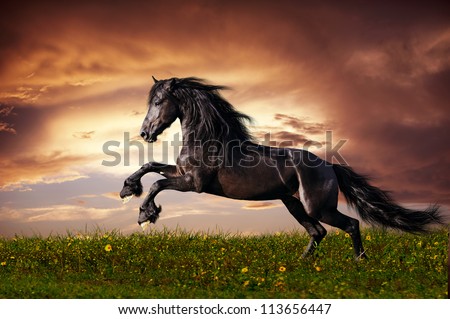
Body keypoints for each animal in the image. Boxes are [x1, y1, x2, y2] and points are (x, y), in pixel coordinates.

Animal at [120, 77, 442, 260]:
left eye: (159, 101)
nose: (145, 133)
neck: (210, 139)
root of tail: (331, 167)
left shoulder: (194, 183)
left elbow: (157, 184)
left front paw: (146, 215)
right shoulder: (181, 173)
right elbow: (150, 166)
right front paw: (127, 189)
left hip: (316, 206)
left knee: (349, 224)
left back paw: (359, 262)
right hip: (293, 204)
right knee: (318, 232)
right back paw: (300, 264)